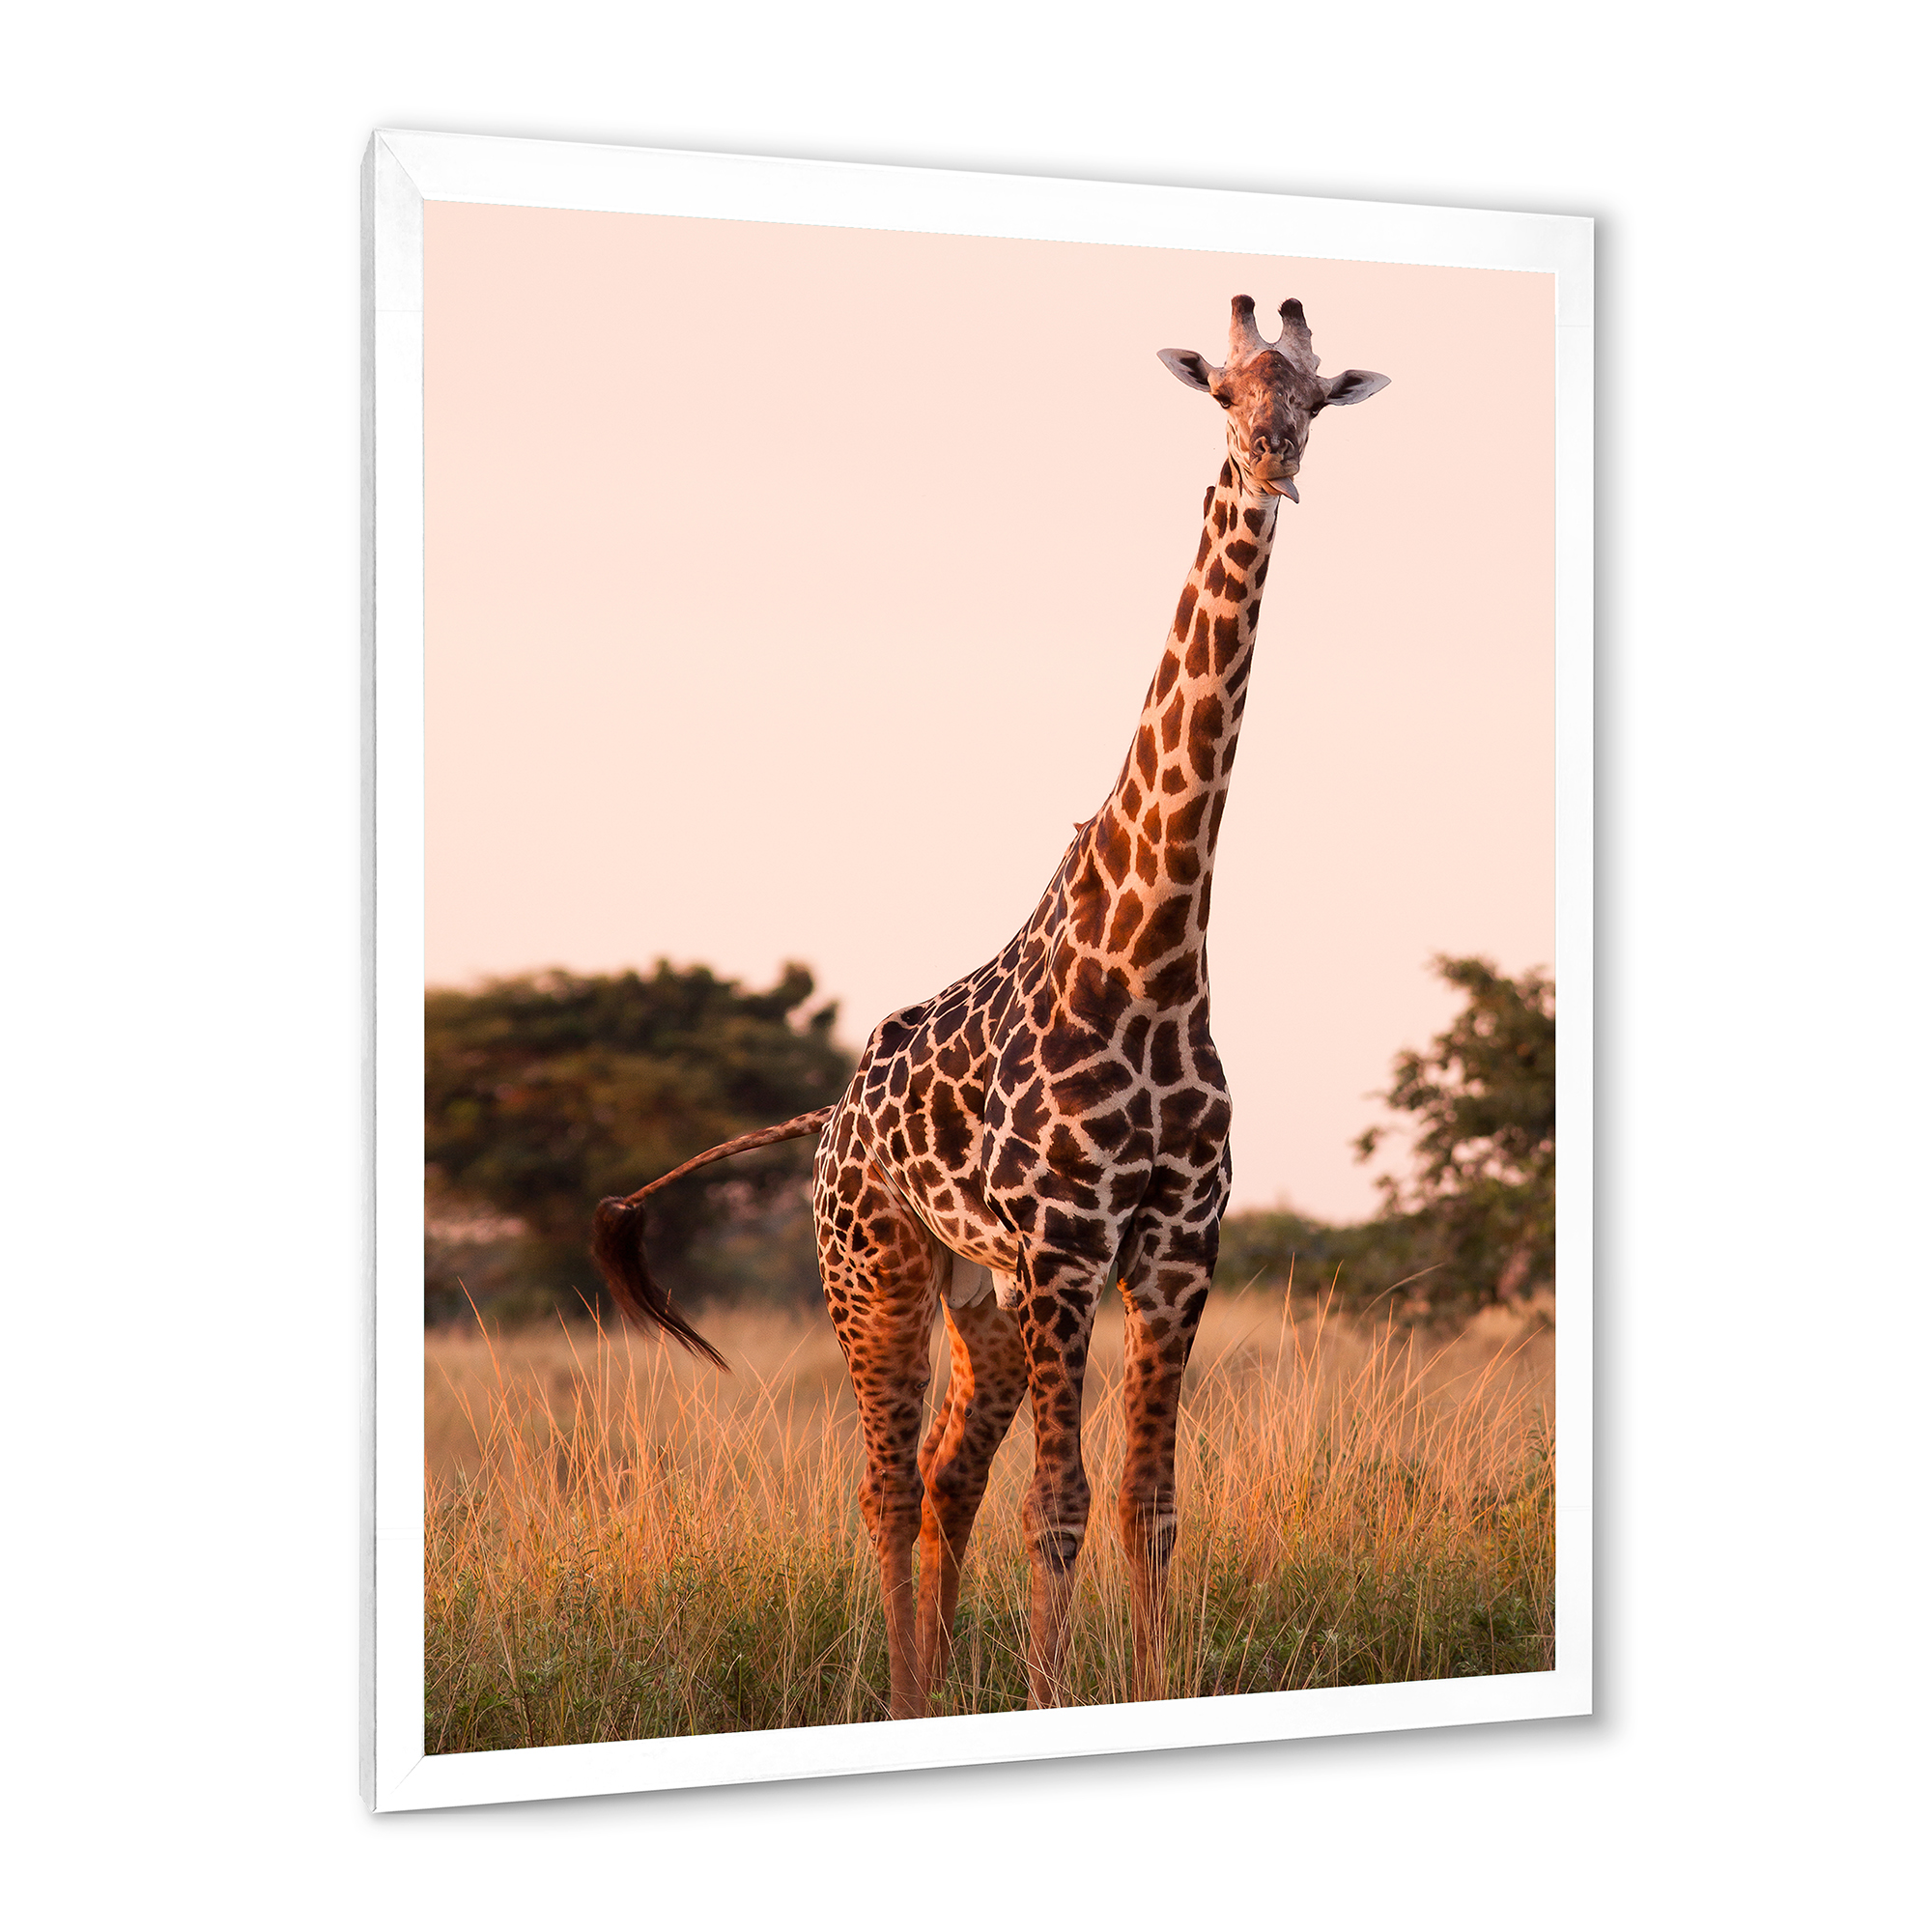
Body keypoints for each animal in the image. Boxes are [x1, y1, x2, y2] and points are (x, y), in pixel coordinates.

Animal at [592, 295, 1389, 1719]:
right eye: (1221, 393)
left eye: (1310, 398)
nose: (1272, 464)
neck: (1154, 957)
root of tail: (827, 1122)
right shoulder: (1069, 1247)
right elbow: (1059, 1506)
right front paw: (1046, 1695)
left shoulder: (1173, 1247)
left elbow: (1147, 1505)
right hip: (877, 1269)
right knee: (887, 1482)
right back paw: (910, 1693)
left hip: (984, 1298)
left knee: (946, 1479)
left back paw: (935, 1684)